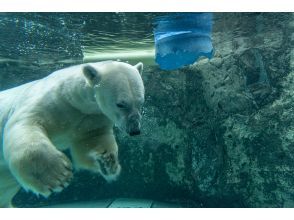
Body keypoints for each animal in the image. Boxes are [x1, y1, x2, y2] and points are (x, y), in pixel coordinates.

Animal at [0, 61, 145, 207]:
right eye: (120, 104)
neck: (72, 98)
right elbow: (25, 123)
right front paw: (57, 176)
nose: (135, 130)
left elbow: (92, 139)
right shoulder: (51, 102)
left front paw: (108, 163)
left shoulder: (91, 116)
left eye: (141, 102)